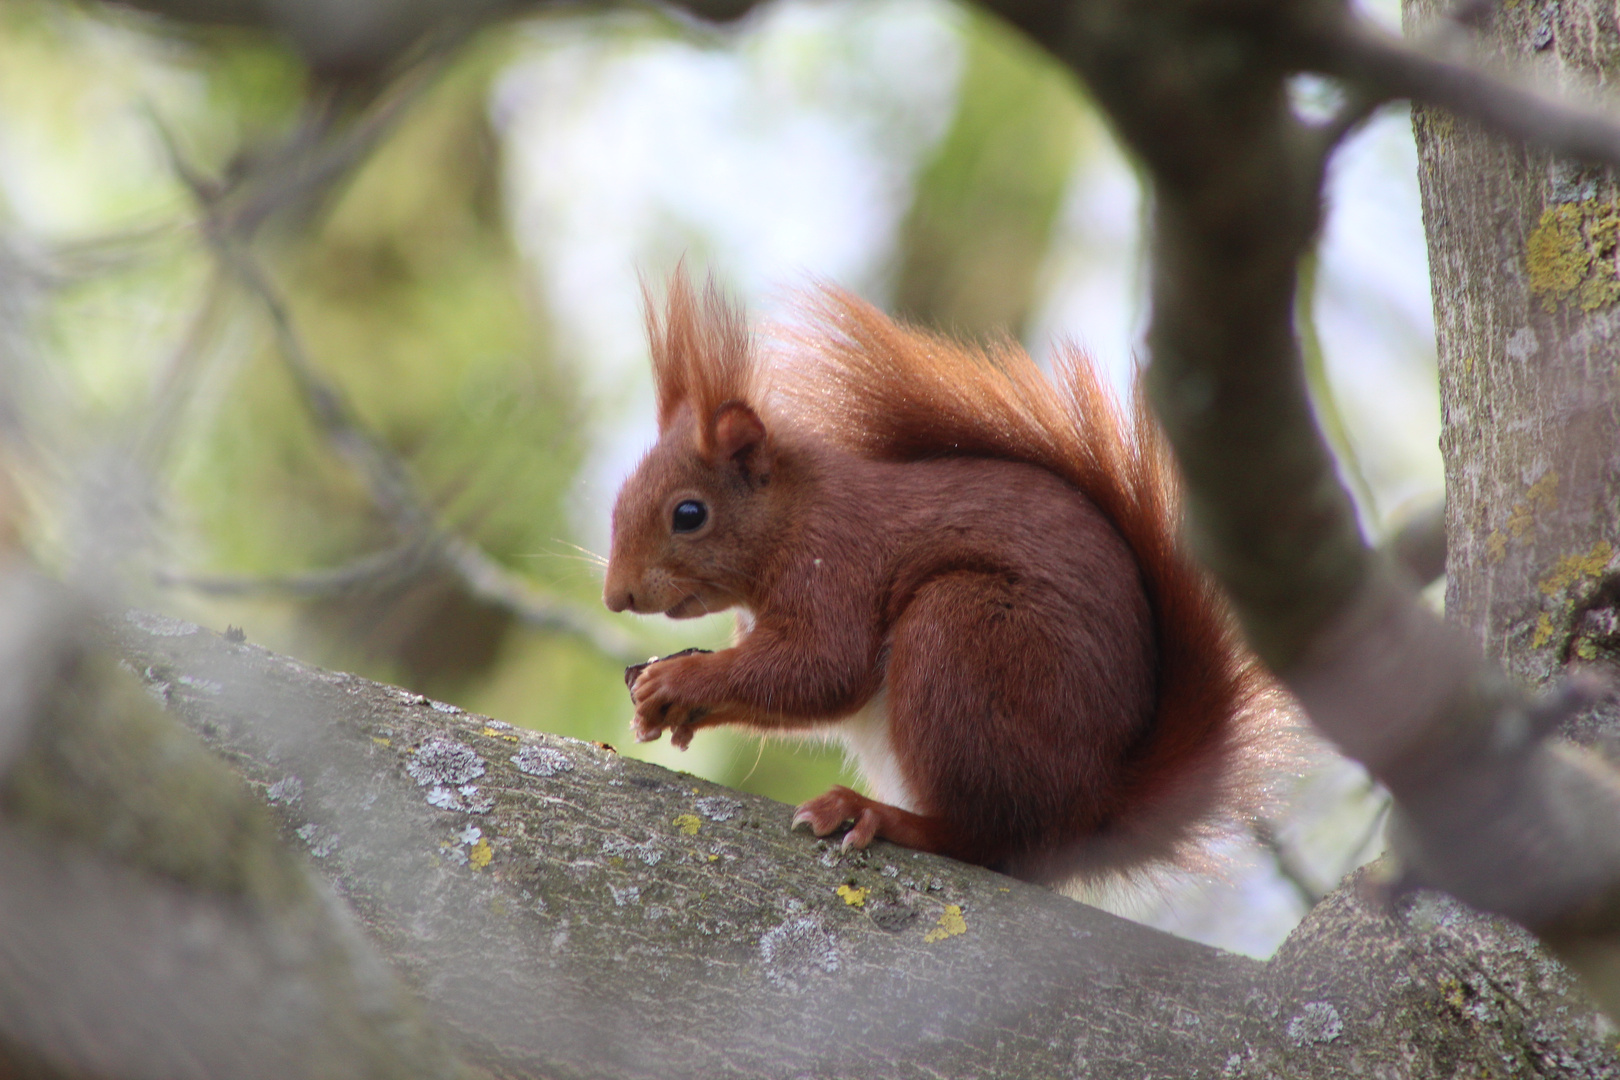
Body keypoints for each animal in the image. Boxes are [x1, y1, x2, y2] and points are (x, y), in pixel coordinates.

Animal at [602, 270, 1270, 887]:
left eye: (690, 515)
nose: (616, 597)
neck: (793, 512)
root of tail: (1093, 808)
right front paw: (663, 707)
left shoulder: (836, 563)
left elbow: (821, 668)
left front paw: (679, 680)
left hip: (960, 642)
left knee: (985, 838)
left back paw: (875, 814)